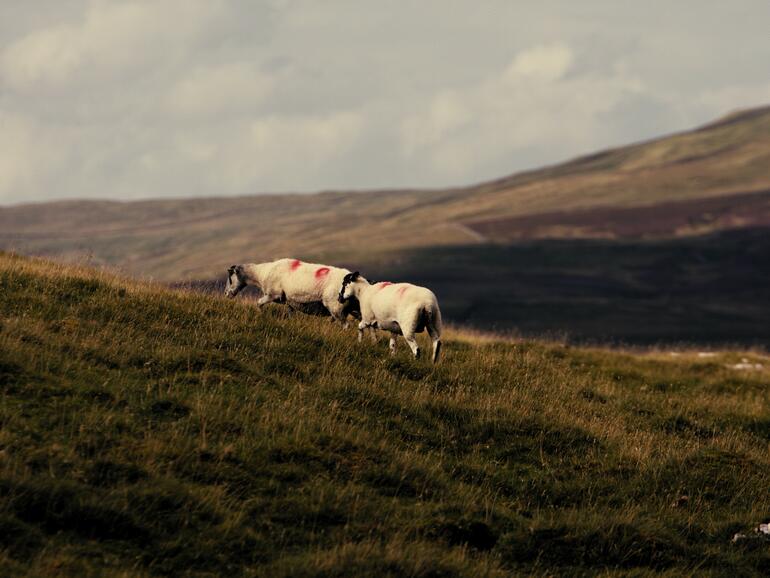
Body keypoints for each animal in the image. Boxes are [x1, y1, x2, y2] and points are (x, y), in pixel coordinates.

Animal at [225, 258, 360, 324]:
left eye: (230, 277)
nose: (226, 294)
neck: (261, 273)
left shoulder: (273, 294)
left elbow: (258, 303)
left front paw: (261, 316)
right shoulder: (290, 301)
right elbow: (290, 314)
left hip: (336, 307)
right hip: (354, 308)